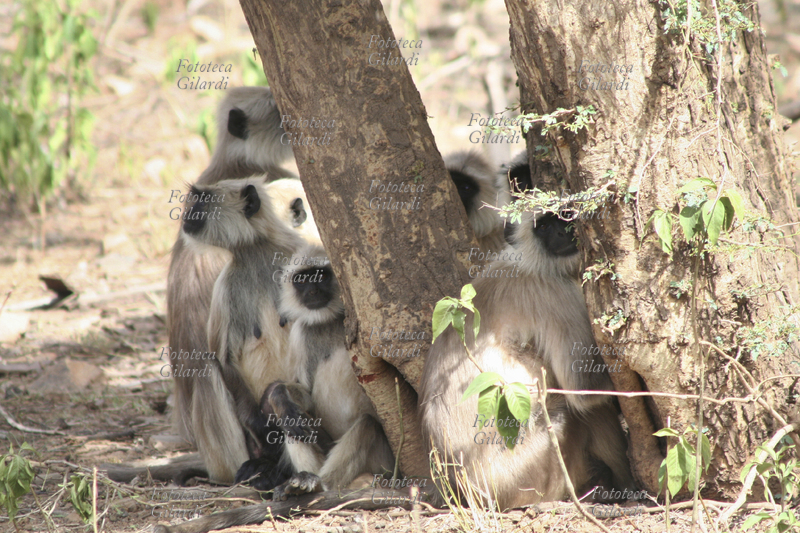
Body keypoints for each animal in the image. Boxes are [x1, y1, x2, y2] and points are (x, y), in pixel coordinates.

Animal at [419, 211, 634, 510]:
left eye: (565, 215)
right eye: (543, 226)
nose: (563, 232)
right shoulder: (554, 292)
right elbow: (584, 388)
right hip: (526, 471)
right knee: (577, 412)